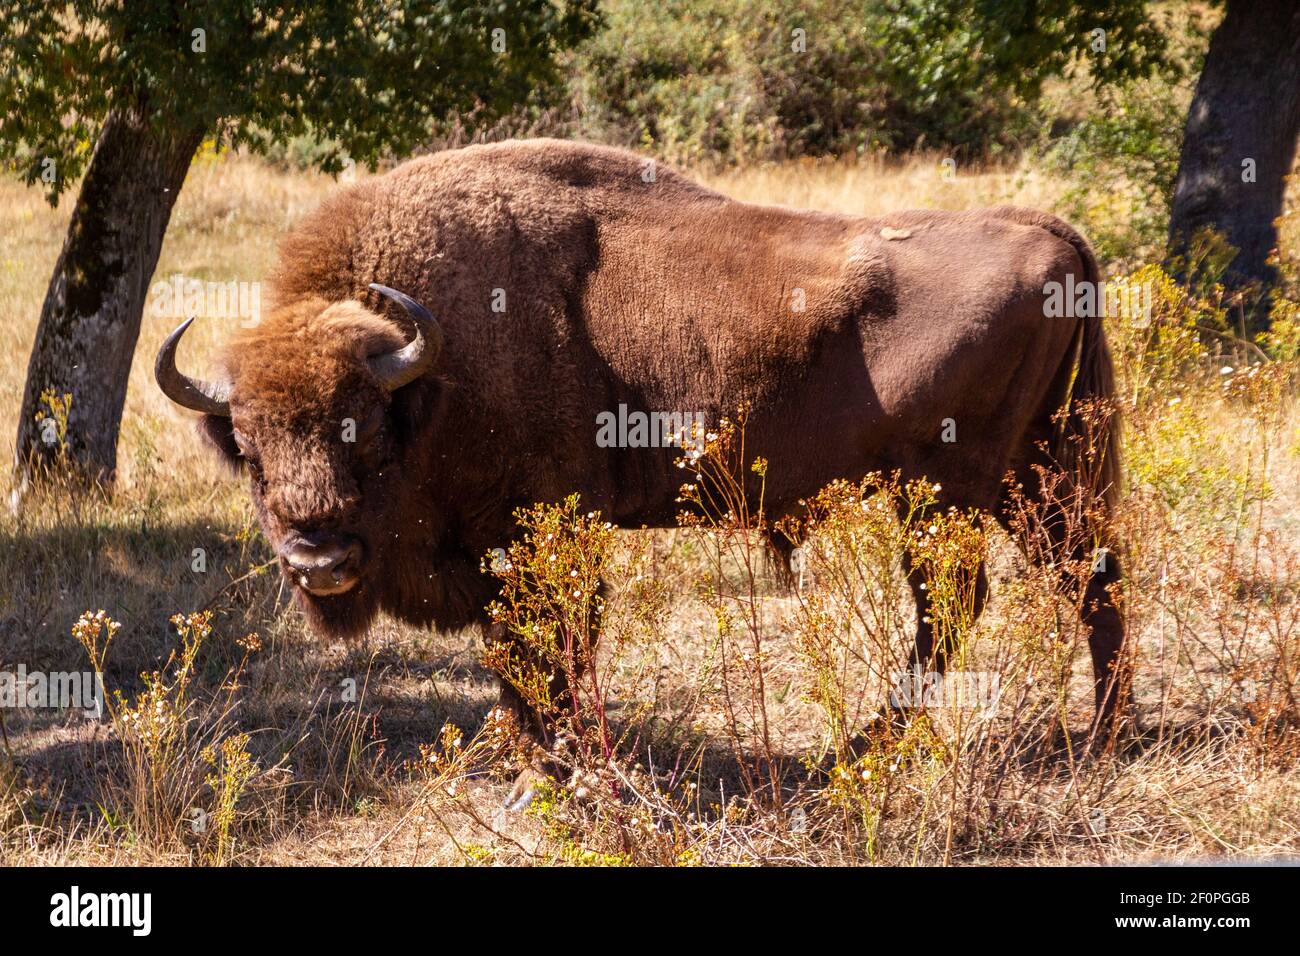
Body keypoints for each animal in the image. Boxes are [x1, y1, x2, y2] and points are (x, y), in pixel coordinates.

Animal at [157, 136, 1123, 764]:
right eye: (248, 451)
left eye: (363, 428)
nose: (317, 558)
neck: (436, 372)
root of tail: (1048, 231)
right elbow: (519, 661)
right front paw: (538, 756)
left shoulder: (538, 537)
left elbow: (548, 647)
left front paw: (561, 760)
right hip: (1043, 470)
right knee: (1091, 575)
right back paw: (1106, 733)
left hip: (948, 489)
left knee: (958, 602)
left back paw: (861, 750)